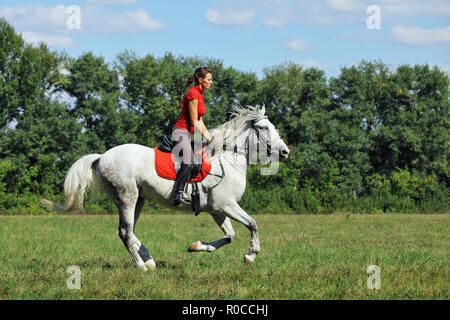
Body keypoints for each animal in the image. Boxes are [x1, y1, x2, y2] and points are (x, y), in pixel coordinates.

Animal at [41, 105, 288, 270]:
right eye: (264, 127)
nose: (286, 152)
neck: (226, 159)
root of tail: (102, 157)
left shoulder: (217, 210)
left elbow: (230, 236)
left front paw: (196, 246)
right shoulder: (227, 205)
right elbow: (253, 224)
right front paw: (251, 255)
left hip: (138, 199)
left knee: (129, 231)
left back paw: (149, 259)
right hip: (127, 197)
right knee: (125, 232)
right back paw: (141, 267)